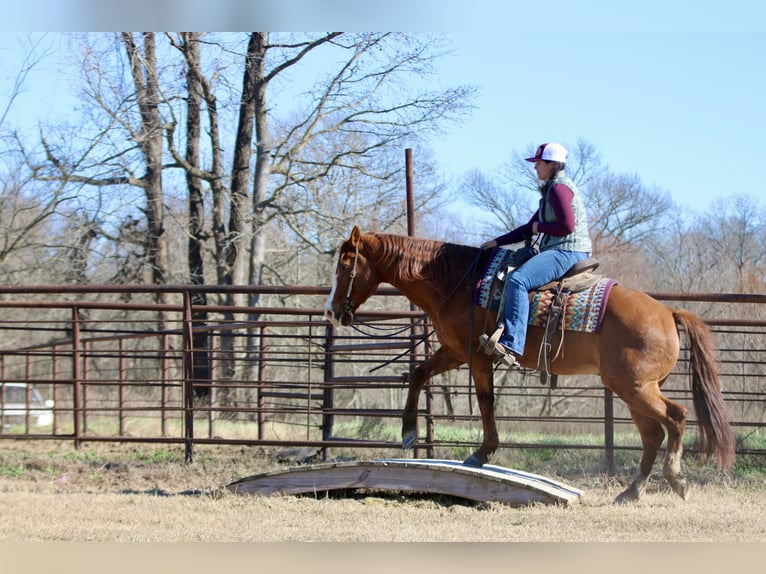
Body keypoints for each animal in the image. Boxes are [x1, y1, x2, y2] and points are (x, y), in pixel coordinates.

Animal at [324, 226, 736, 503]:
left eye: (344, 267)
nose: (331, 312)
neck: (457, 281)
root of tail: (667, 312)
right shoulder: (455, 351)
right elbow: (418, 374)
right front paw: (409, 432)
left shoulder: (476, 355)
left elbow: (486, 401)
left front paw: (482, 453)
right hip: (633, 390)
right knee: (652, 435)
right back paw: (631, 493)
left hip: (636, 388)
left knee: (676, 418)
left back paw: (677, 479)